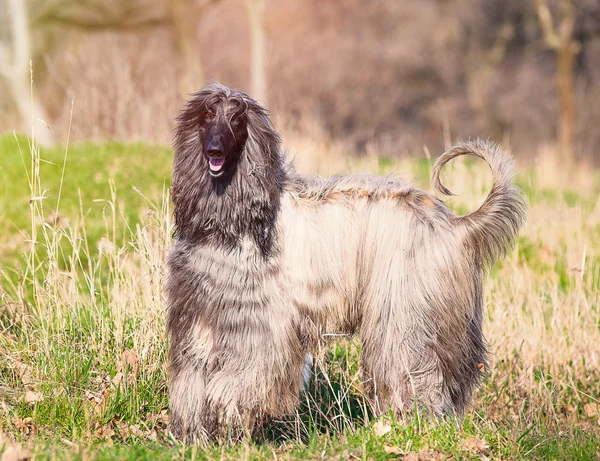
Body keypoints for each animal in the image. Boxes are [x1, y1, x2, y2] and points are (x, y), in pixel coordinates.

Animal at [166, 82, 528, 442]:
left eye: (237, 119)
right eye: (208, 114)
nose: (214, 151)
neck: (231, 216)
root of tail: (455, 224)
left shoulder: (256, 323)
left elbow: (237, 378)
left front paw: (225, 421)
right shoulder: (201, 314)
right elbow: (192, 376)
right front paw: (193, 433)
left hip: (405, 311)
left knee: (410, 366)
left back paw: (410, 422)